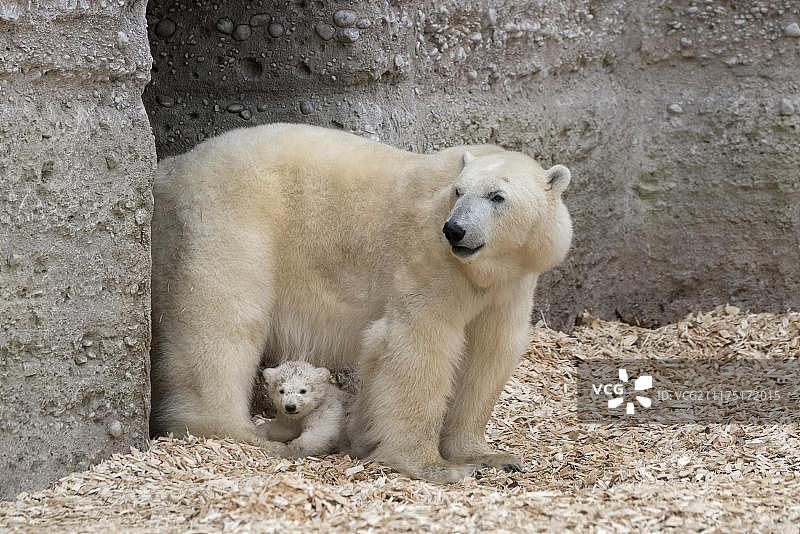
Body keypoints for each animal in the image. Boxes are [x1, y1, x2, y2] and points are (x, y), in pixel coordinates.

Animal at [149, 122, 573, 483]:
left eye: (497, 196)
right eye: (458, 191)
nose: (455, 229)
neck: (483, 270)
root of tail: (171, 169)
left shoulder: (509, 285)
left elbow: (488, 353)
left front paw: (489, 456)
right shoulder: (428, 261)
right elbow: (417, 346)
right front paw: (433, 466)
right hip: (228, 216)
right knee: (223, 317)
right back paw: (239, 430)